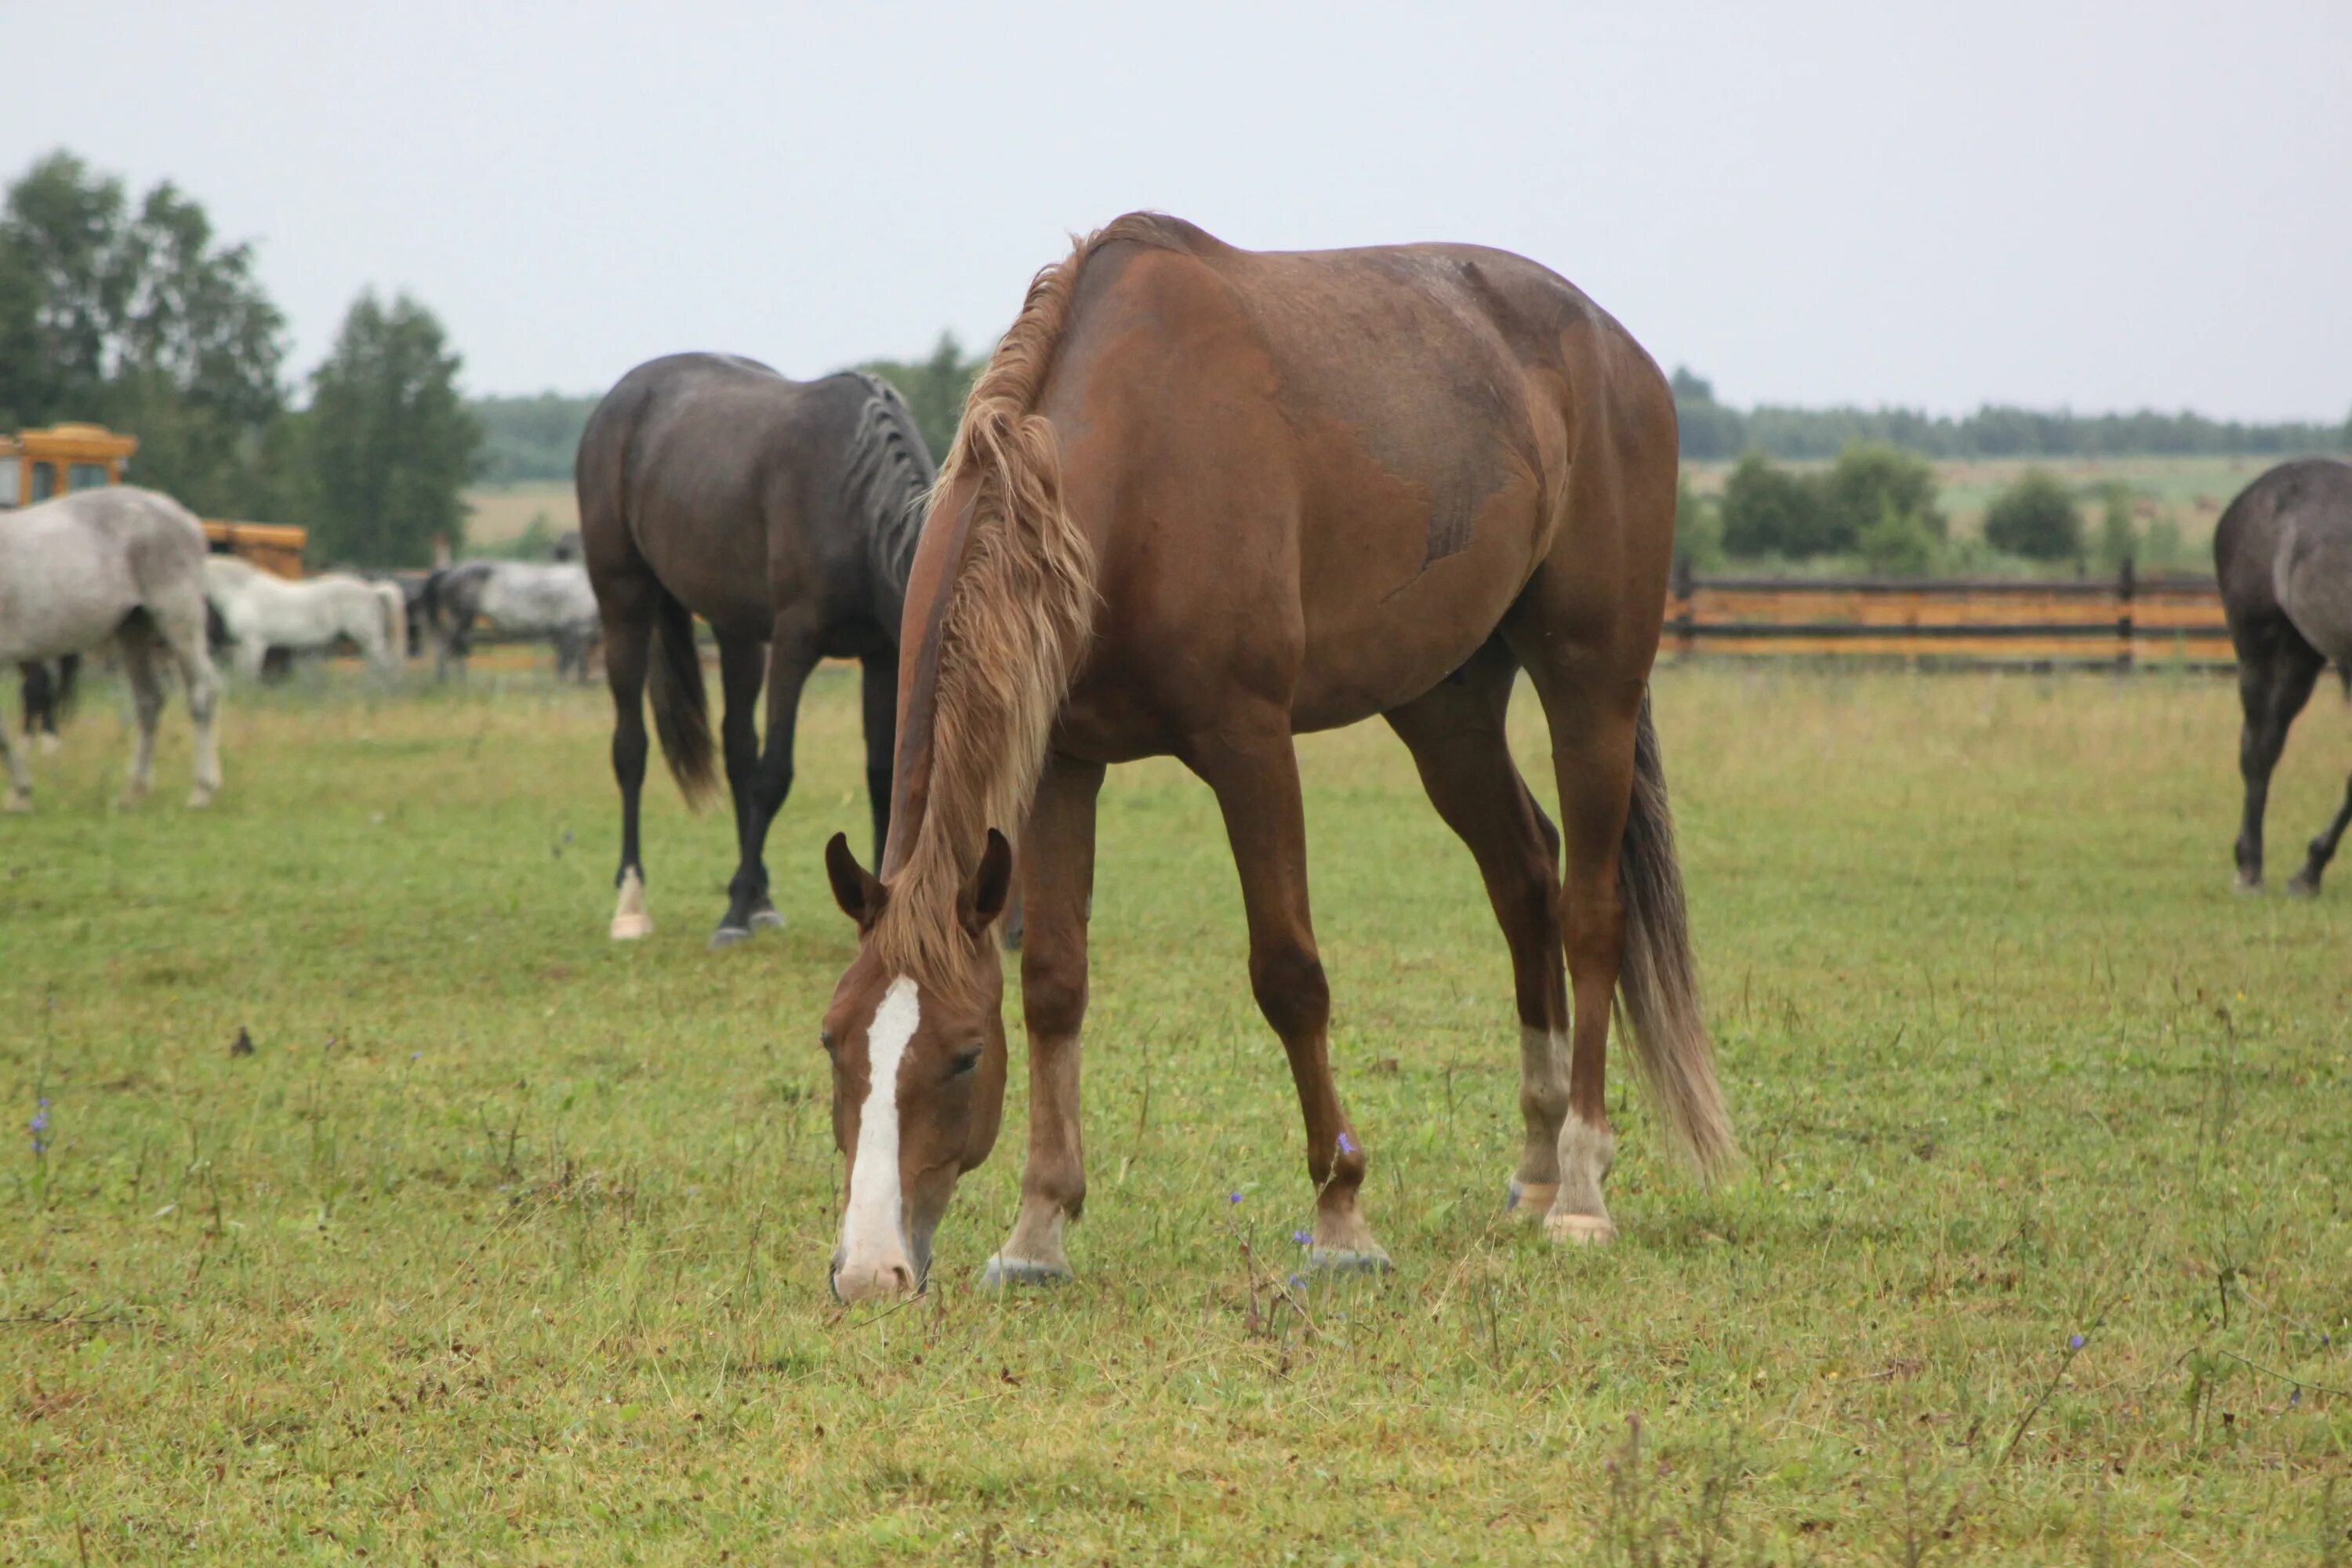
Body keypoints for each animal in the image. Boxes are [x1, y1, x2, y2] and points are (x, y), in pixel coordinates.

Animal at [0, 486, 224, 808]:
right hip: (134, 630)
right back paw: (133, 792)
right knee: (149, 701)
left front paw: (20, 793)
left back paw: (201, 792)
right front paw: (20, 793)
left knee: (201, 696)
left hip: (179, 621)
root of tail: (181, 515)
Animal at [202, 554, 409, 677]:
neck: (243, 592)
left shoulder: (254, 643)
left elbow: (248, 673)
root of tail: (372, 590)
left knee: (384, 665)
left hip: (367, 637)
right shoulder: (241, 646)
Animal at [574, 354, 931, 945]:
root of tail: (622, 395)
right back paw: (633, 902)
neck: (856, 498)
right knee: (631, 748)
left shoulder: (881, 656)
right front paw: (734, 911)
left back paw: (762, 896)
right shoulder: (794, 645)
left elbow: (881, 775)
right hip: (623, 602)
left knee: (737, 745)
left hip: (735, 629)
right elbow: (774, 775)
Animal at [818, 215, 1740, 1307]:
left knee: (1592, 910)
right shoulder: (1061, 763)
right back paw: (1535, 1167)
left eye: (963, 1057)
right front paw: (1039, 1228)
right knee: (1526, 881)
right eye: (835, 1040)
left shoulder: (1248, 743)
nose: (870, 1269)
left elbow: (1291, 974)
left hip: (1591, 682)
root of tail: (1619, 353)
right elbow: (1053, 981)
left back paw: (1583, 1187)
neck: (1131, 473)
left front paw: (1342, 1218)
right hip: (1445, 708)